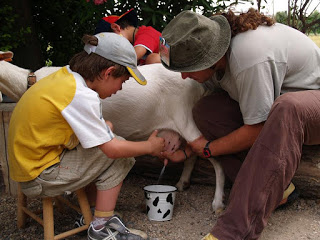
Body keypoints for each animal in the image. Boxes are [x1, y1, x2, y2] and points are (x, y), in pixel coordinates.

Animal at [0, 54, 225, 214]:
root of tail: (196, 82)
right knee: (194, 153)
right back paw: (182, 183)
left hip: (185, 117)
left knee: (214, 157)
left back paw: (217, 203)